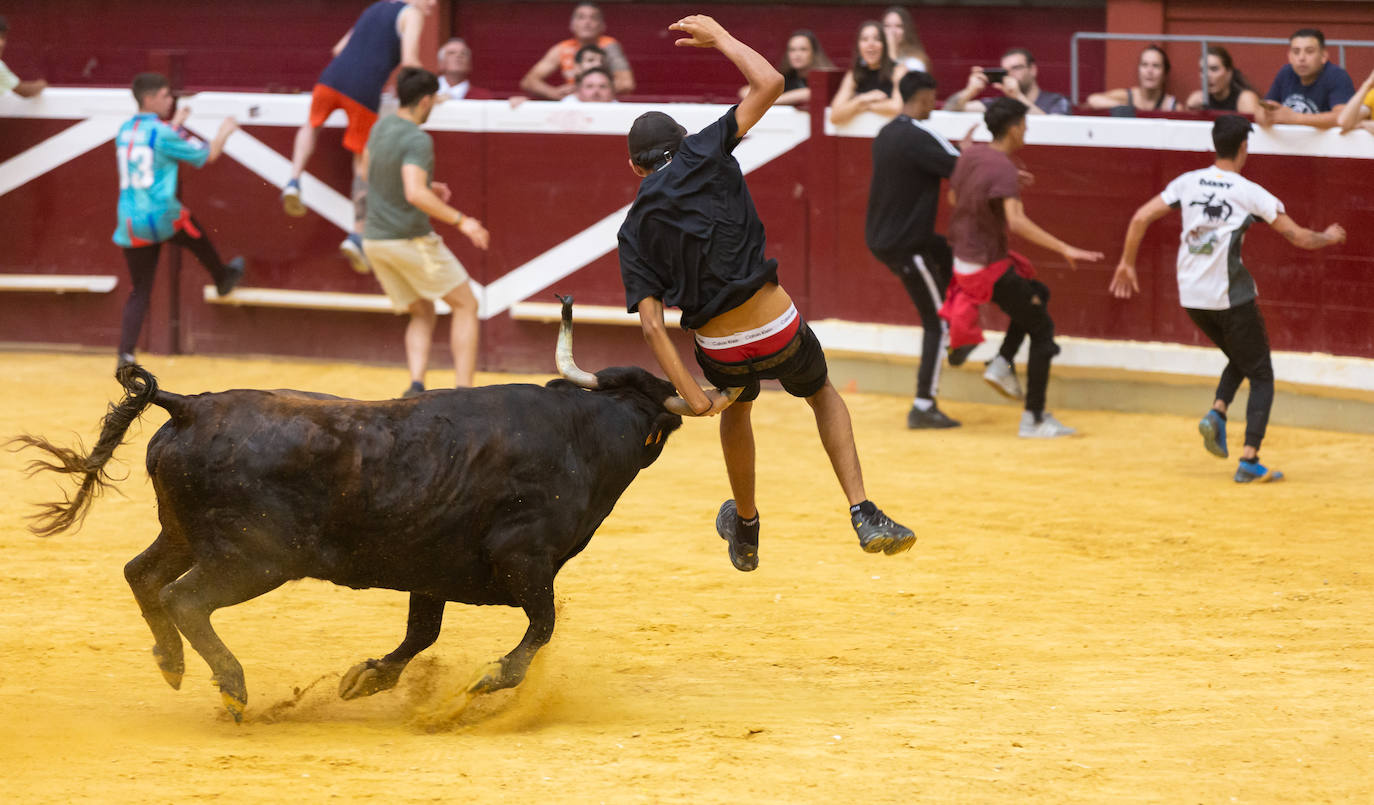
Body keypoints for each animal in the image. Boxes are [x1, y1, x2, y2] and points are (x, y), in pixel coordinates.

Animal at [13, 296, 741, 719]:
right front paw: (485, 682)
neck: (585, 432)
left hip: (184, 534)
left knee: (141, 574)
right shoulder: (526, 561)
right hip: (252, 558)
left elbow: (422, 633)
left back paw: (172, 665)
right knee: (184, 597)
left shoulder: (432, 569)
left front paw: (364, 679)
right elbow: (539, 628)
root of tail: (189, 404)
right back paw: (233, 688)